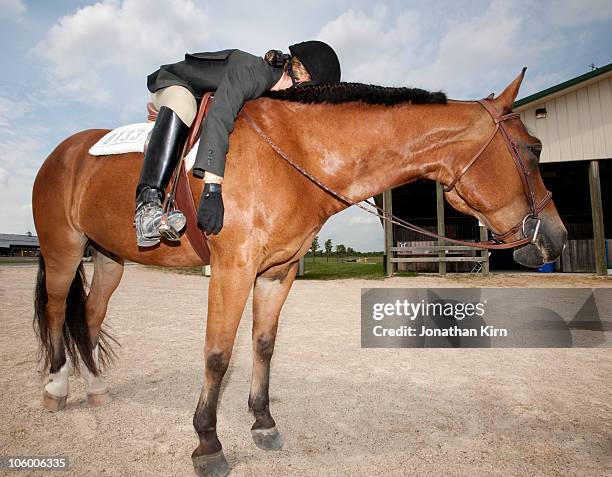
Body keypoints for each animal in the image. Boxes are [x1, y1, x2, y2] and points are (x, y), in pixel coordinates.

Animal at [29, 69, 564, 474]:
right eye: (534, 149)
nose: (556, 240)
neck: (293, 152)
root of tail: (60, 153)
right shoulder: (233, 268)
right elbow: (218, 355)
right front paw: (208, 443)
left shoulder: (276, 273)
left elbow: (263, 344)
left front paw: (263, 423)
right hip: (63, 252)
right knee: (56, 310)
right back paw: (55, 389)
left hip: (109, 259)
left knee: (90, 316)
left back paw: (95, 389)